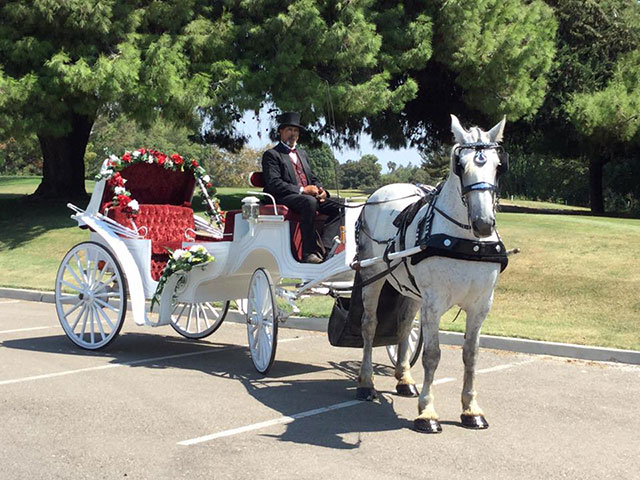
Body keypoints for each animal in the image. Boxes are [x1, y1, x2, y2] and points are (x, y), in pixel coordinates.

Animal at [358, 114, 508, 434]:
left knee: (403, 327)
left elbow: (471, 355)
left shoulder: (481, 306)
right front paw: (427, 412)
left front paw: (471, 409)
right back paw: (365, 383)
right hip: (373, 276)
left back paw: (404, 379)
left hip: (412, 292)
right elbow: (432, 355)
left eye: (498, 165)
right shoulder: (434, 303)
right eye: (459, 165)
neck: (467, 241)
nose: (483, 223)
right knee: (369, 326)